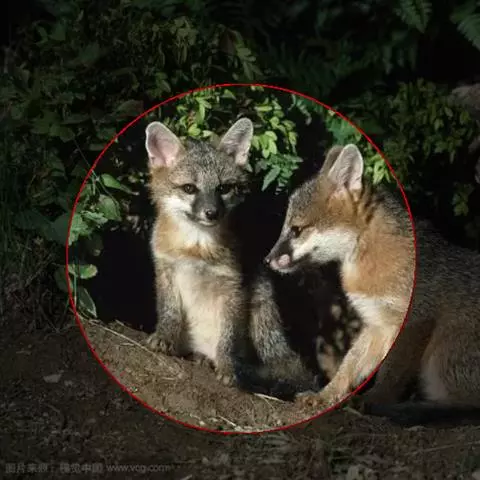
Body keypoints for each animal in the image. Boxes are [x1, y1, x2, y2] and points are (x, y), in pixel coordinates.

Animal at [144, 117, 319, 399]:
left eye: (223, 188)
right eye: (189, 188)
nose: (211, 212)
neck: (196, 249)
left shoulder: (233, 286)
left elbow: (228, 338)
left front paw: (228, 367)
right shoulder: (166, 270)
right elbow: (169, 312)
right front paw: (165, 338)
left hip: (260, 304)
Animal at [265, 143, 480, 425]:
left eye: (296, 230)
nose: (267, 260)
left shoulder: (413, 322)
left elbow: (391, 374)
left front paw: (373, 401)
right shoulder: (377, 324)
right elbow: (349, 365)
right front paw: (326, 395)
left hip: (443, 353)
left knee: (469, 406)